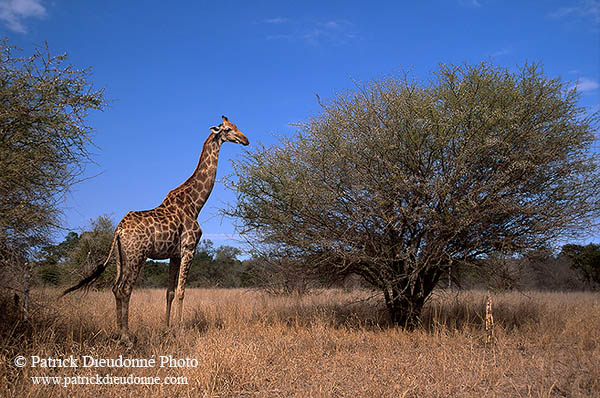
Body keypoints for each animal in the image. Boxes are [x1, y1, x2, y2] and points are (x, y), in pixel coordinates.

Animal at [65, 114, 251, 346]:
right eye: (227, 129)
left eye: (236, 126)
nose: (246, 140)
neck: (195, 204)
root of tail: (118, 231)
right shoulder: (189, 249)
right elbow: (181, 291)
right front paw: (180, 330)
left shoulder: (174, 255)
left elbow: (169, 292)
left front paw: (166, 329)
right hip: (137, 256)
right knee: (125, 289)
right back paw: (127, 337)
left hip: (121, 257)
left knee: (116, 288)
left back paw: (118, 334)